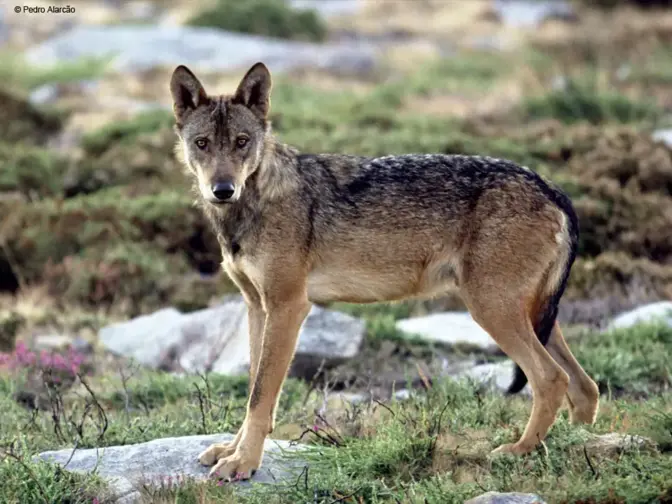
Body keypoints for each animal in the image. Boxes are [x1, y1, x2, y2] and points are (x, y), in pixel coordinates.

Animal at [169, 61, 600, 481]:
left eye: (242, 141)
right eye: (202, 143)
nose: (223, 189)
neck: (250, 206)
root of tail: (551, 187)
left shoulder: (288, 307)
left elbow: (261, 396)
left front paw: (244, 463)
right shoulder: (258, 307)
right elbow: (253, 390)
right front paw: (231, 450)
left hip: (492, 310)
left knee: (552, 379)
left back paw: (519, 450)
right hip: (530, 314)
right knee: (586, 387)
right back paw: (578, 446)